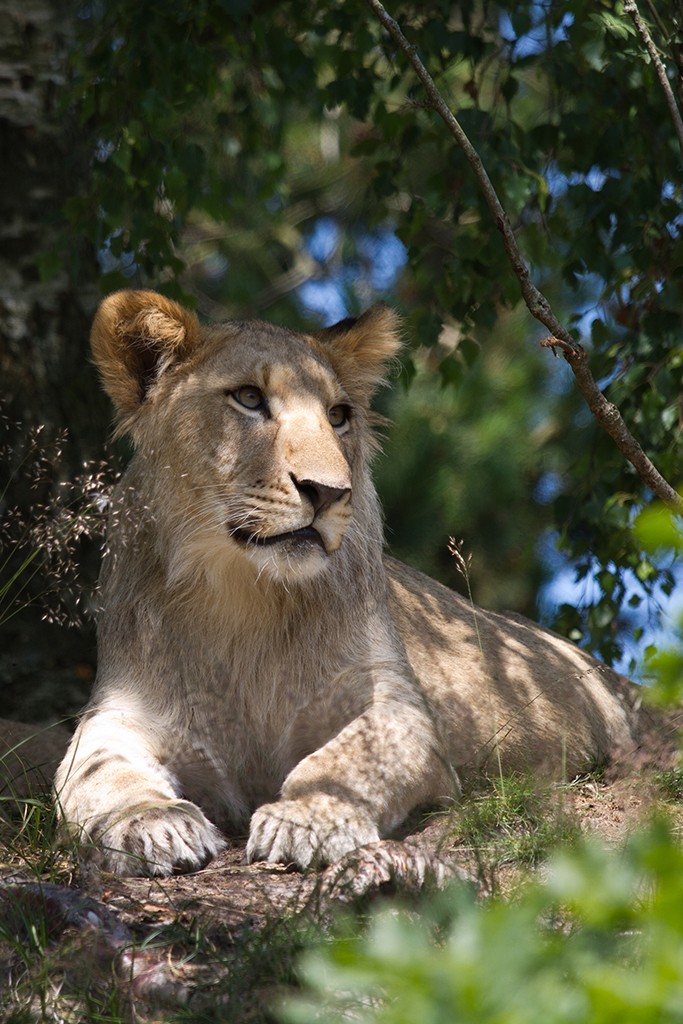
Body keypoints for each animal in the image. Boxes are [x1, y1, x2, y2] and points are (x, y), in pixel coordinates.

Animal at [53, 290, 634, 880]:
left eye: (338, 416)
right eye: (248, 398)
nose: (328, 491)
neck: (243, 598)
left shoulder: (396, 702)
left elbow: (349, 759)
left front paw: (308, 818)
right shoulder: (119, 710)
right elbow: (93, 772)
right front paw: (150, 821)